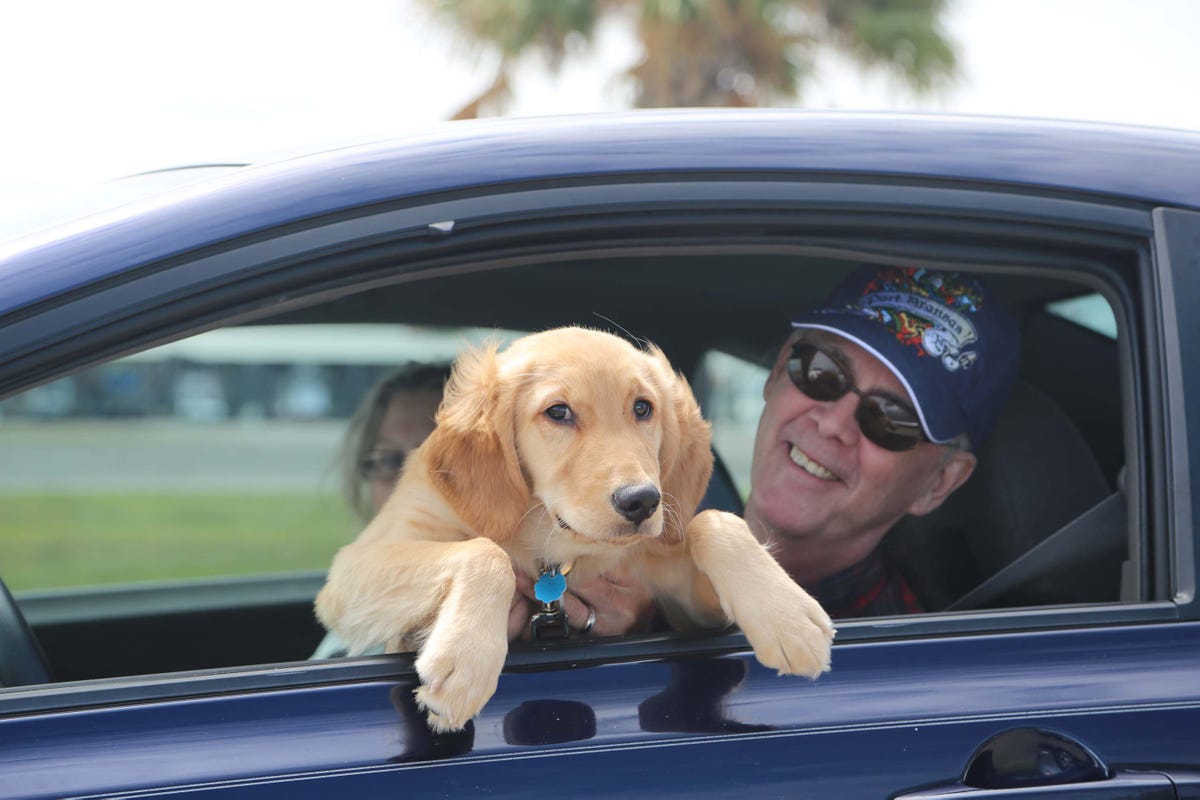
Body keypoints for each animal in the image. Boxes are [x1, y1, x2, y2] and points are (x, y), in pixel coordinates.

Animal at [314, 326, 830, 734]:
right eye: (558, 412)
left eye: (643, 408)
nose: (642, 501)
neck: (554, 543)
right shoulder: (354, 568)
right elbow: (486, 552)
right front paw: (465, 662)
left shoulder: (683, 605)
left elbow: (713, 520)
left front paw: (787, 617)